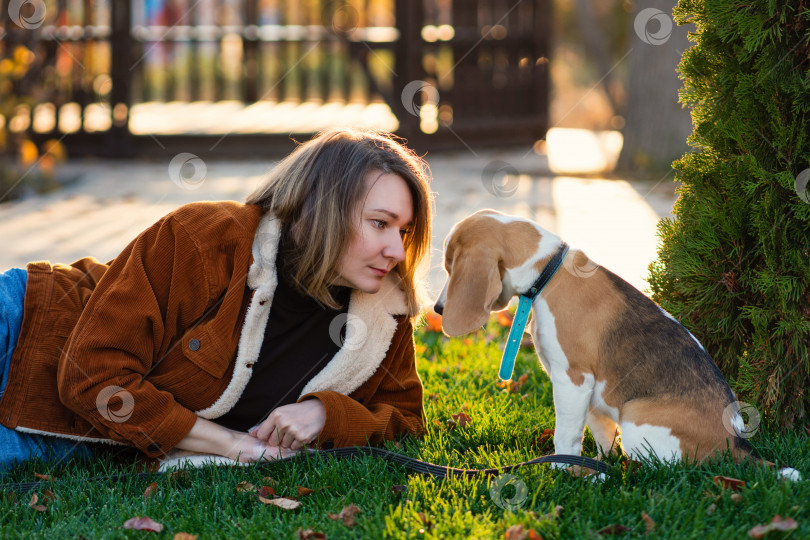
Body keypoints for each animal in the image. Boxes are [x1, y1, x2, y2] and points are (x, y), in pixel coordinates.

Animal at [432, 209, 800, 478]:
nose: (437, 309)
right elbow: (599, 431)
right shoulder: (589, 390)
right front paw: (593, 463)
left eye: (450, 268)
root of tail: (737, 442)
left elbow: (566, 435)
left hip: (637, 424)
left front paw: (563, 470)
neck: (549, 271)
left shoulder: (573, 379)